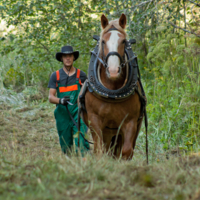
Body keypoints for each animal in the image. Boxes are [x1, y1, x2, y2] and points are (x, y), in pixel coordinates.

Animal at [78, 14, 147, 160]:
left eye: (124, 41)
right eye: (103, 42)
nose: (114, 70)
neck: (112, 92)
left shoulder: (130, 122)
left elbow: (126, 151)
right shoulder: (95, 121)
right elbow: (99, 151)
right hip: (107, 132)